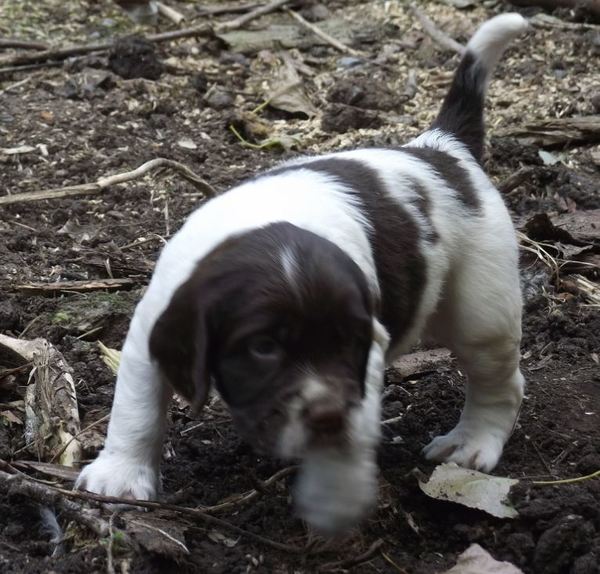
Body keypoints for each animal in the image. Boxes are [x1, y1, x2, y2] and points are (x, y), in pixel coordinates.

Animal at [76, 13, 528, 536]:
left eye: (347, 341)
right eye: (263, 347)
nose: (327, 415)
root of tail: (443, 149)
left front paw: (334, 499)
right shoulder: (152, 325)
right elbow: (137, 408)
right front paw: (119, 476)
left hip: (481, 310)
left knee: (500, 381)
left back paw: (471, 443)